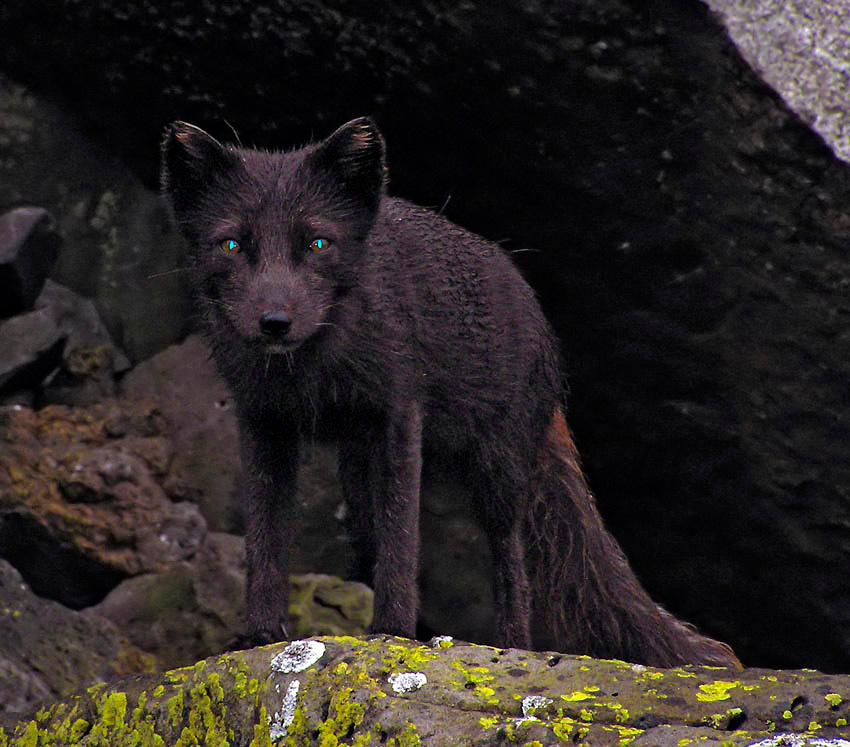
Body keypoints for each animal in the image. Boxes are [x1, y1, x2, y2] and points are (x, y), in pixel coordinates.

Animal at [160, 116, 740, 668]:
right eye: (232, 244)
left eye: (318, 243)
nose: (274, 322)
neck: (313, 376)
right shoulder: (262, 420)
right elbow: (265, 535)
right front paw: (259, 636)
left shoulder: (400, 413)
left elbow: (402, 536)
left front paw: (392, 633)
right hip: (356, 471)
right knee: (368, 540)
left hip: (498, 470)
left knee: (511, 562)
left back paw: (513, 648)